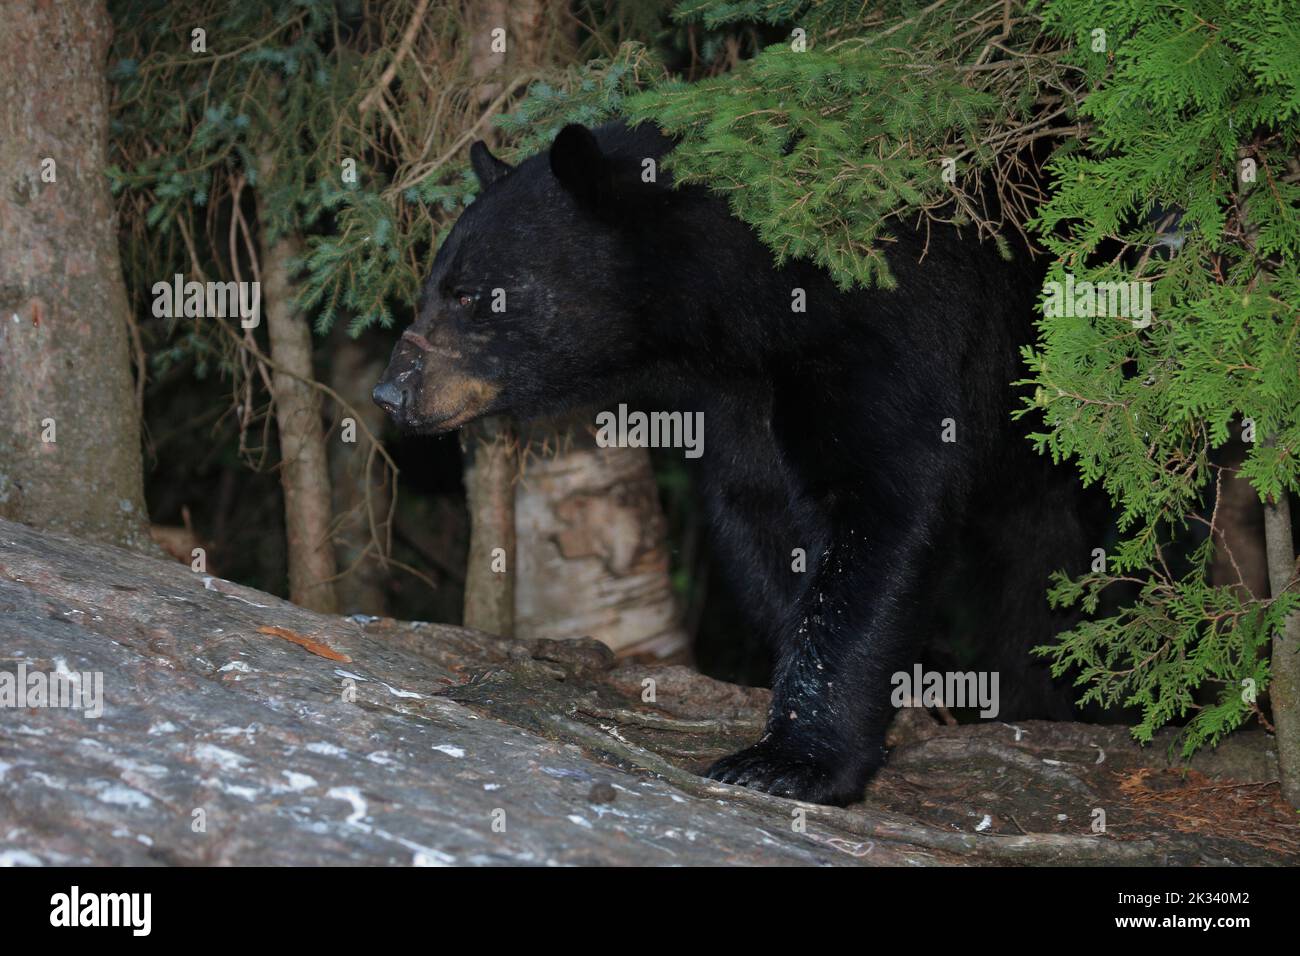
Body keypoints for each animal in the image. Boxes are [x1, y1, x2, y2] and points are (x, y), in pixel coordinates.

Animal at [374, 121, 1086, 806]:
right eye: (430, 289)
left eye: (471, 296)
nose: (391, 391)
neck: (758, 300)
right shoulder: (742, 396)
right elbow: (760, 515)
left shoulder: (891, 330)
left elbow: (884, 501)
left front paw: (789, 763)